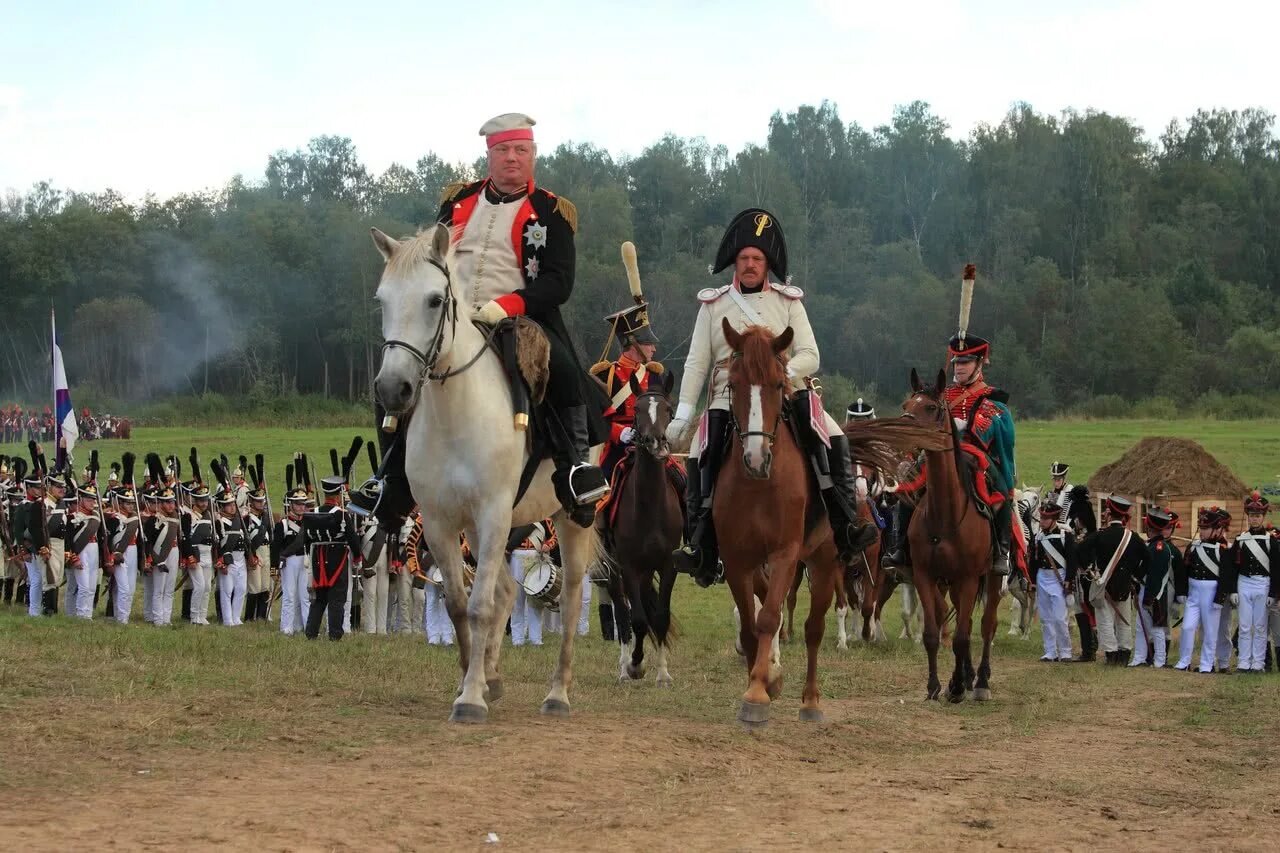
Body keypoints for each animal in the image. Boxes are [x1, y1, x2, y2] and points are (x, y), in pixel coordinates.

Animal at [373, 222, 601, 722]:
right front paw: (472, 681)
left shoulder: (494, 513)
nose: (393, 389)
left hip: (569, 520)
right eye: (382, 300)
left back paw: (558, 693)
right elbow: (460, 604)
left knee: (570, 597)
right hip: (481, 534)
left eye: (434, 299)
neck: (456, 413)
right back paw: (494, 674)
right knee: (508, 591)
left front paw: (471, 699)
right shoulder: (441, 522)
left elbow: (478, 606)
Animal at [901, 368, 998, 701]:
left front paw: (956, 686)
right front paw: (934, 685)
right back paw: (967, 676)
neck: (945, 514)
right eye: (906, 404)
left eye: (931, 408)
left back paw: (980, 681)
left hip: (992, 578)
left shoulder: (968, 578)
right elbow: (933, 634)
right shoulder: (924, 575)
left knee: (986, 625)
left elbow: (962, 637)